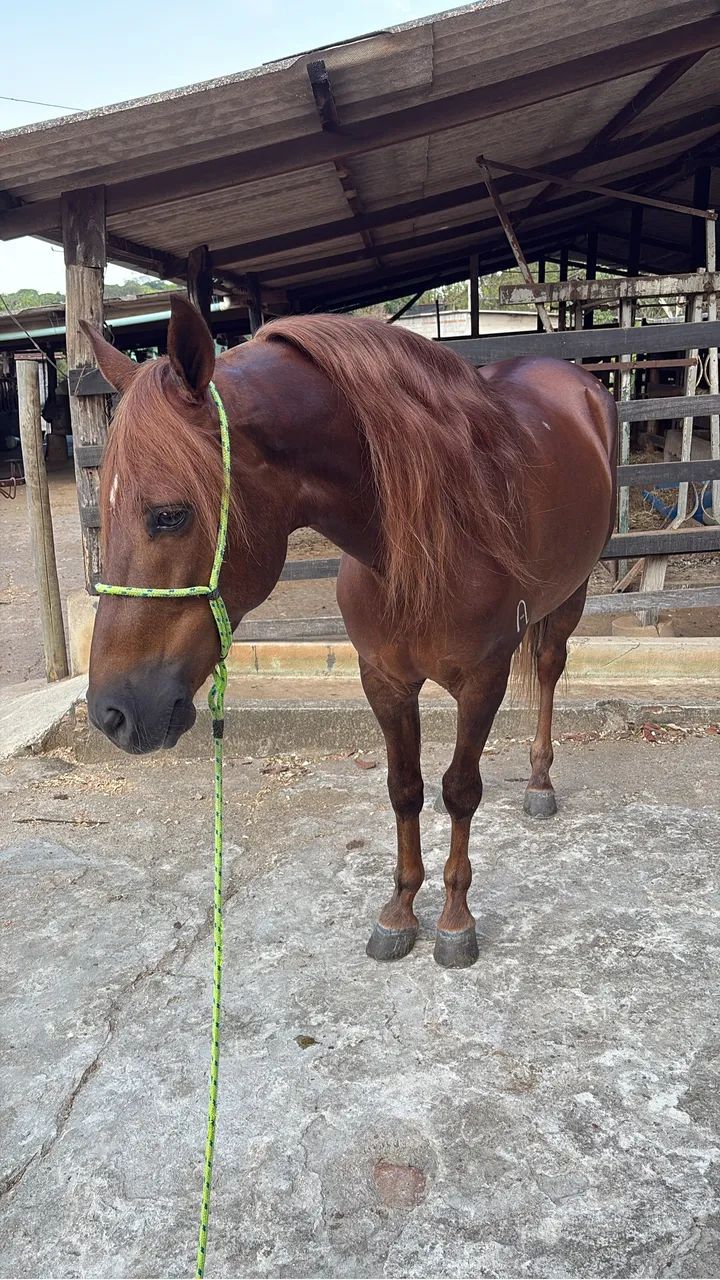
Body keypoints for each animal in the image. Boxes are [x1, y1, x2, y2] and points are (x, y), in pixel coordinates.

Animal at [83, 295, 617, 968]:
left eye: (170, 515)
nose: (111, 714)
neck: (432, 533)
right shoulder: (383, 679)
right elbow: (404, 789)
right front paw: (399, 910)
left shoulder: (483, 681)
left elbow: (460, 790)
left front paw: (454, 921)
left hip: (573, 593)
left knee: (548, 668)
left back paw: (540, 781)